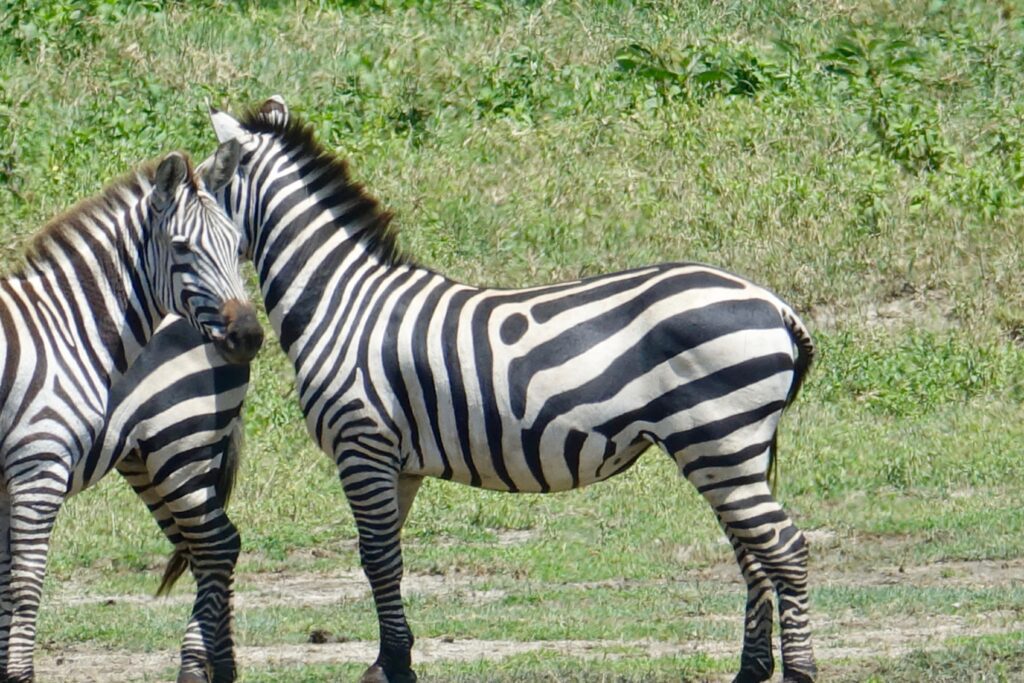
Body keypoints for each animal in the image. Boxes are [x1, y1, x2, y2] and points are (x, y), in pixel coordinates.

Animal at [0, 141, 264, 679]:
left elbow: (23, 583)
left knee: (217, 546)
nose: (248, 335)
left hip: (181, 443)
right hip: (149, 460)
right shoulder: (15, 478)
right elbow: (9, 585)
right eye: (182, 248)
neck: (63, 330)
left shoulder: (39, 465)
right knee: (205, 547)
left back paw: (199, 668)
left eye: (236, 244)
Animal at [207, 97, 815, 683]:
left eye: (204, 182)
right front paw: (391, 659)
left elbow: (377, 557)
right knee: (755, 553)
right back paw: (751, 670)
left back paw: (800, 670)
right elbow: (387, 558)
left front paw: (393, 665)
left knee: (785, 548)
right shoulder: (397, 463)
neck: (341, 303)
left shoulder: (362, 444)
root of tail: (775, 306)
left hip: (718, 441)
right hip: (730, 451)